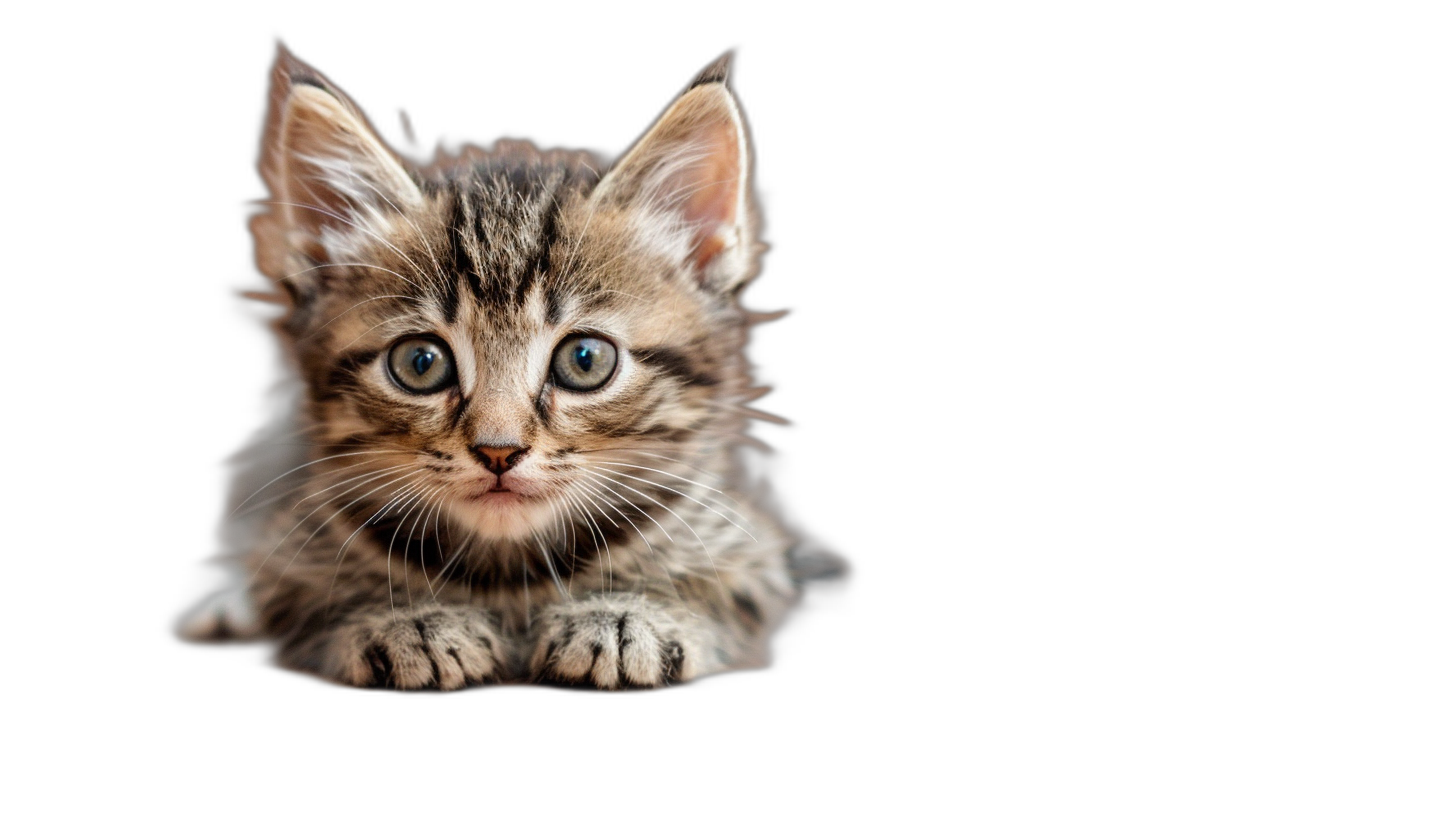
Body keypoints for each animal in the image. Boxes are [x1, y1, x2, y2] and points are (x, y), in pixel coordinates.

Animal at [170, 46, 827, 693]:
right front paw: (409, 625)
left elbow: (728, 596)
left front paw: (627, 620)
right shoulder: (291, 553)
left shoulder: (747, 544)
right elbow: (305, 604)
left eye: (585, 360)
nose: (498, 451)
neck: (510, 575)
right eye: (420, 363)